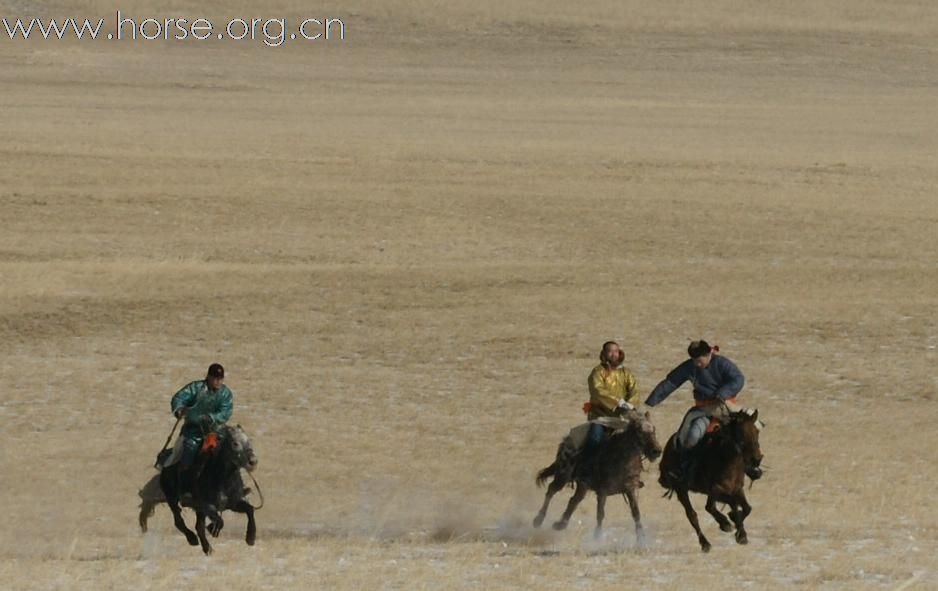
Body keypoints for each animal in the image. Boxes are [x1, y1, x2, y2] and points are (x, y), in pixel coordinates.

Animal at [660, 410, 760, 552]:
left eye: (757, 431)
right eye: (741, 433)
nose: (756, 459)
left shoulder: (736, 489)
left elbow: (747, 508)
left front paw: (739, 531)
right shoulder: (716, 490)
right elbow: (732, 504)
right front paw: (734, 524)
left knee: (710, 507)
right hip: (681, 490)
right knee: (692, 515)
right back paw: (705, 543)